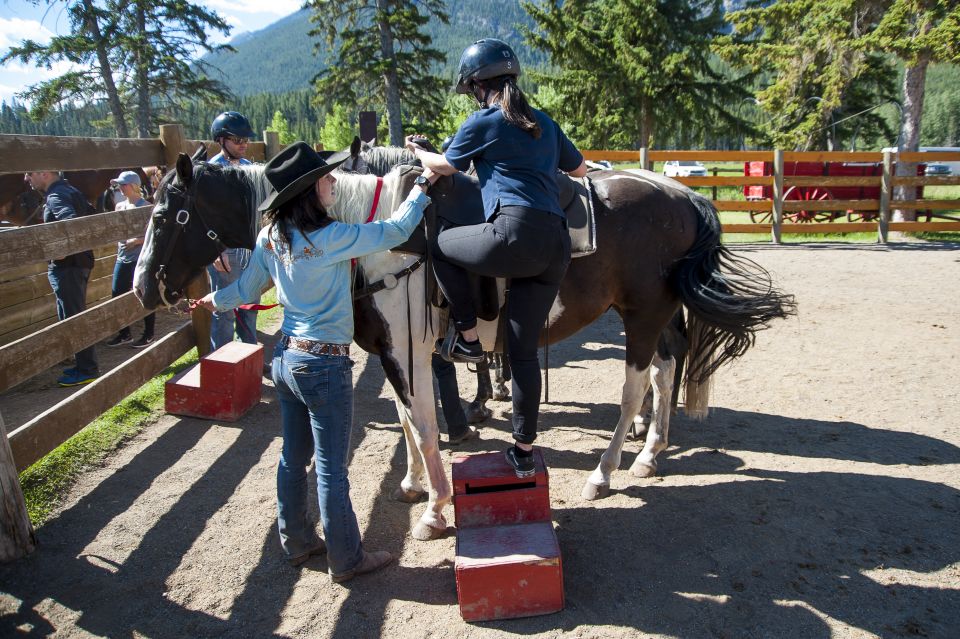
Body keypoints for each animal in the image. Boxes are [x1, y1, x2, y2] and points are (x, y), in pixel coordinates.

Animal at [133, 152, 796, 544]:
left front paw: (434, 509)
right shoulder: (391, 351)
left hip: (642, 315)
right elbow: (406, 421)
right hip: (650, 316)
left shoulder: (409, 347)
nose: (145, 287)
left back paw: (606, 473)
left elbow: (426, 424)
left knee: (637, 387)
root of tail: (684, 196)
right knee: (664, 373)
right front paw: (412, 484)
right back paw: (649, 456)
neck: (372, 237)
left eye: (169, 213)